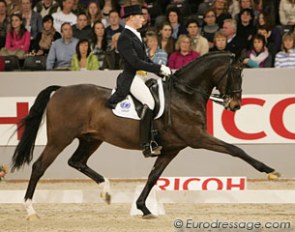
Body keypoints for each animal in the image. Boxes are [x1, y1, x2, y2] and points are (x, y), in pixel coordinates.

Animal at [11, 51, 280, 220]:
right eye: (236, 73)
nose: (235, 106)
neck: (185, 95)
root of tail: (61, 90)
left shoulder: (172, 148)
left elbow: (153, 177)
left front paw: (144, 209)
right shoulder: (197, 138)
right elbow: (236, 149)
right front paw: (269, 171)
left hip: (91, 138)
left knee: (76, 161)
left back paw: (106, 191)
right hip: (60, 138)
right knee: (39, 166)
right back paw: (30, 211)